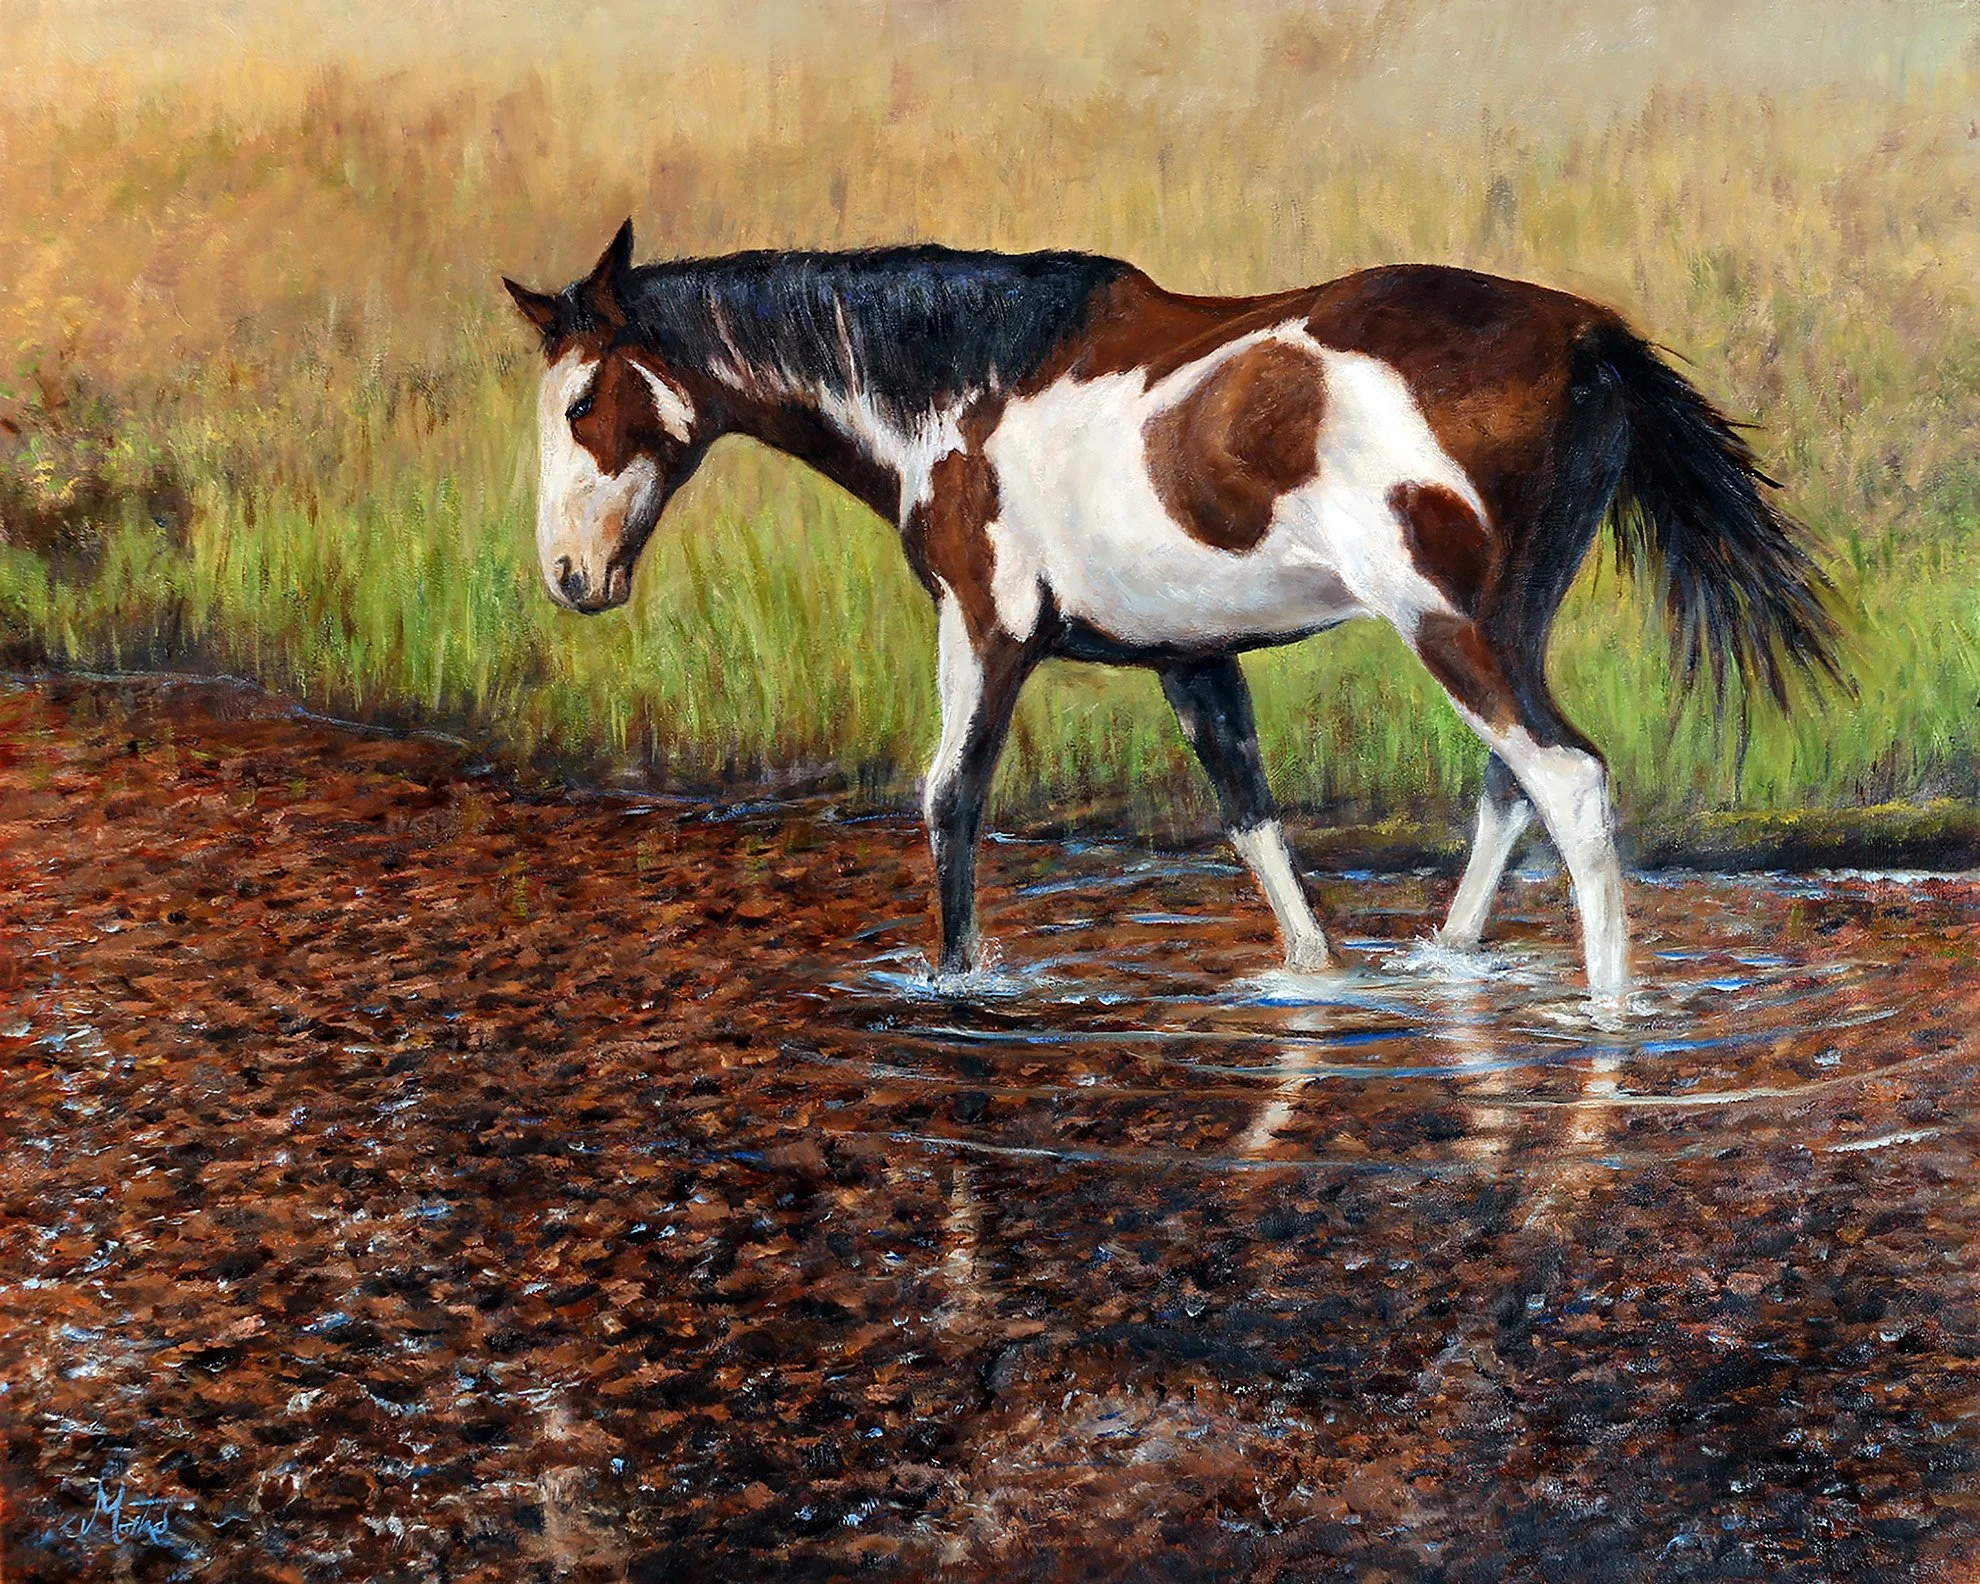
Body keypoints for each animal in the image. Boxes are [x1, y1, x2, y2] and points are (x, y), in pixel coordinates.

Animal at [502, 220, 1840, 1001]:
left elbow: (949, 799)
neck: (962, 388)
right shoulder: (1190, 659)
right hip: (1512, 628)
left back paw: (1609, 1017)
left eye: (580, 404)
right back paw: (1451, 965)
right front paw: (1318, 984)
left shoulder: (987, 629)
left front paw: (956, 983)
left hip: (1451, 630)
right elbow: (1255, 829)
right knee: (1513, 791)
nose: (569, 578)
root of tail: (1588, 334)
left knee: (1569, 783)